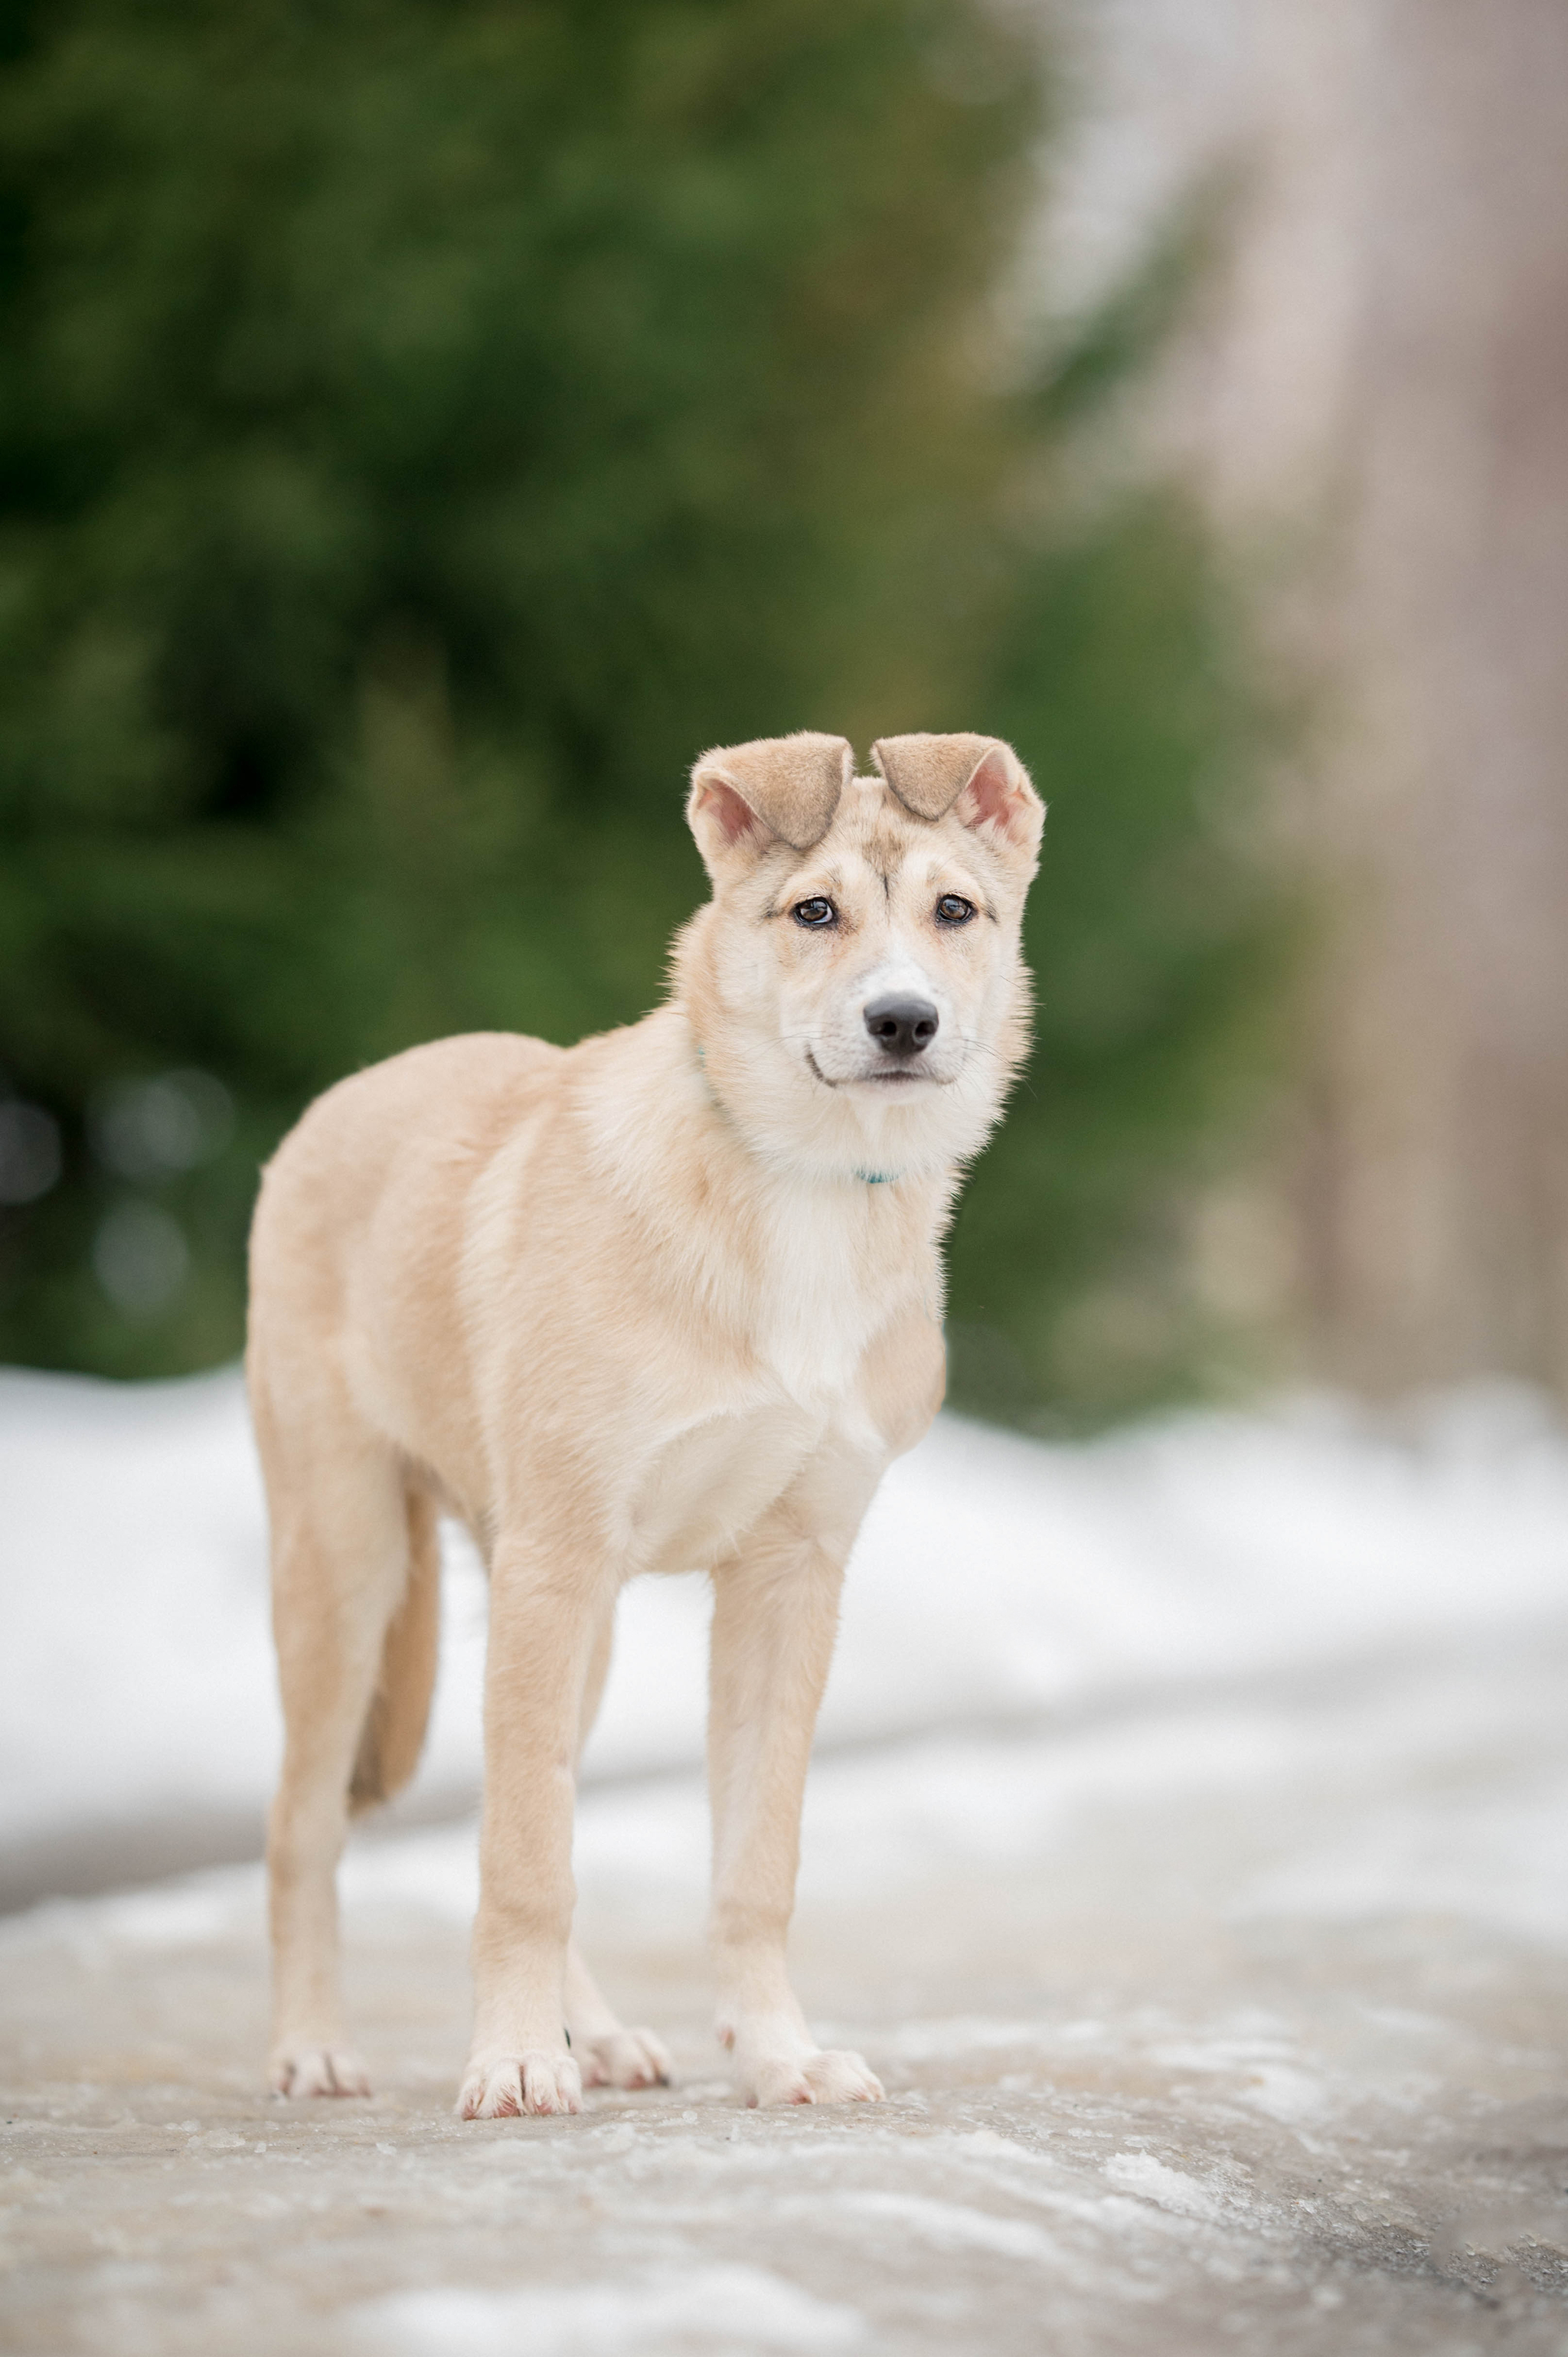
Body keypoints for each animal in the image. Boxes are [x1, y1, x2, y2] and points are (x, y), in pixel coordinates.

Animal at [247, 721, 1037, 2121]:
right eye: (814, 912)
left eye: (957, 911)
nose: (903, 1021)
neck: (803, 1185)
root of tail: (343, 1094)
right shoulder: (555, 1559)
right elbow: (524, 1860)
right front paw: (511, 2059)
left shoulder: (787, 1576)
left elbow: (753, 1862)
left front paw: (777, 2054)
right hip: (350, 1565)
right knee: (306, 1825)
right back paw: (315, 2046)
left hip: (580, 1623)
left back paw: (600, 2035)